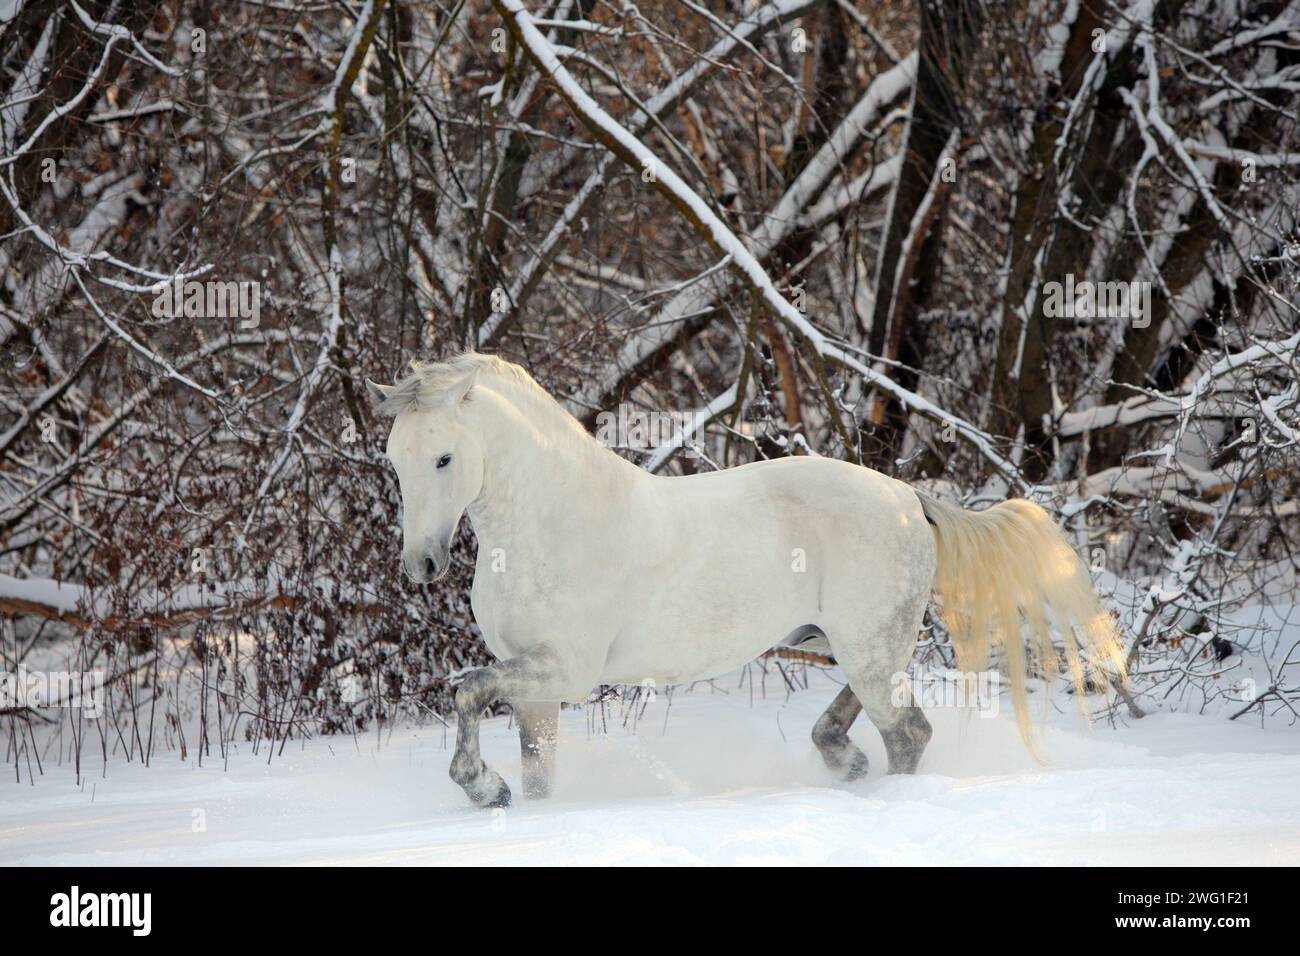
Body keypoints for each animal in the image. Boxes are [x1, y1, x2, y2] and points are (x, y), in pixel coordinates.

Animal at [369, 351, 1128, 806]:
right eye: (395, 458)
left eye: (444, 458)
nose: (422, 564)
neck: (550, 525)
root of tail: (908, 499)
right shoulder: (534, 690)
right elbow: (535, 772)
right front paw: (508, 799)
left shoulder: (563, 673)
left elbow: (466, 692)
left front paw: (480, 787)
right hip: (849, 644)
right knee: (865, 720)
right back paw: (844, 765)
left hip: (869, 648)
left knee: (910, 733)